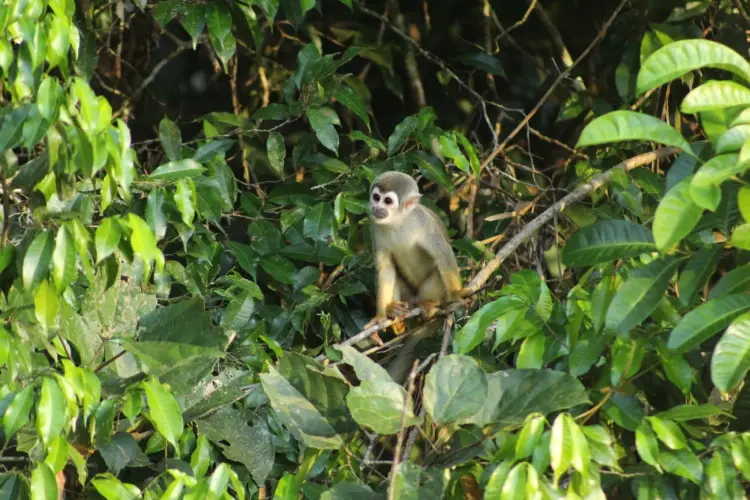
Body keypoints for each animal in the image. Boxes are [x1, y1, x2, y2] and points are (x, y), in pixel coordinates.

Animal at [364, 171, 463, 381]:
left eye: (387, 201)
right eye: (376, 197)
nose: (377, 208)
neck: (398, 222)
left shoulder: (424, 225)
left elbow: (443, 254)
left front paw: (457, 294)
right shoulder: (375, 228)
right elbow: (386, 268)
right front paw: (380, 317)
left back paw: (428, 303)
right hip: (407, 296)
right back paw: (394, 311)